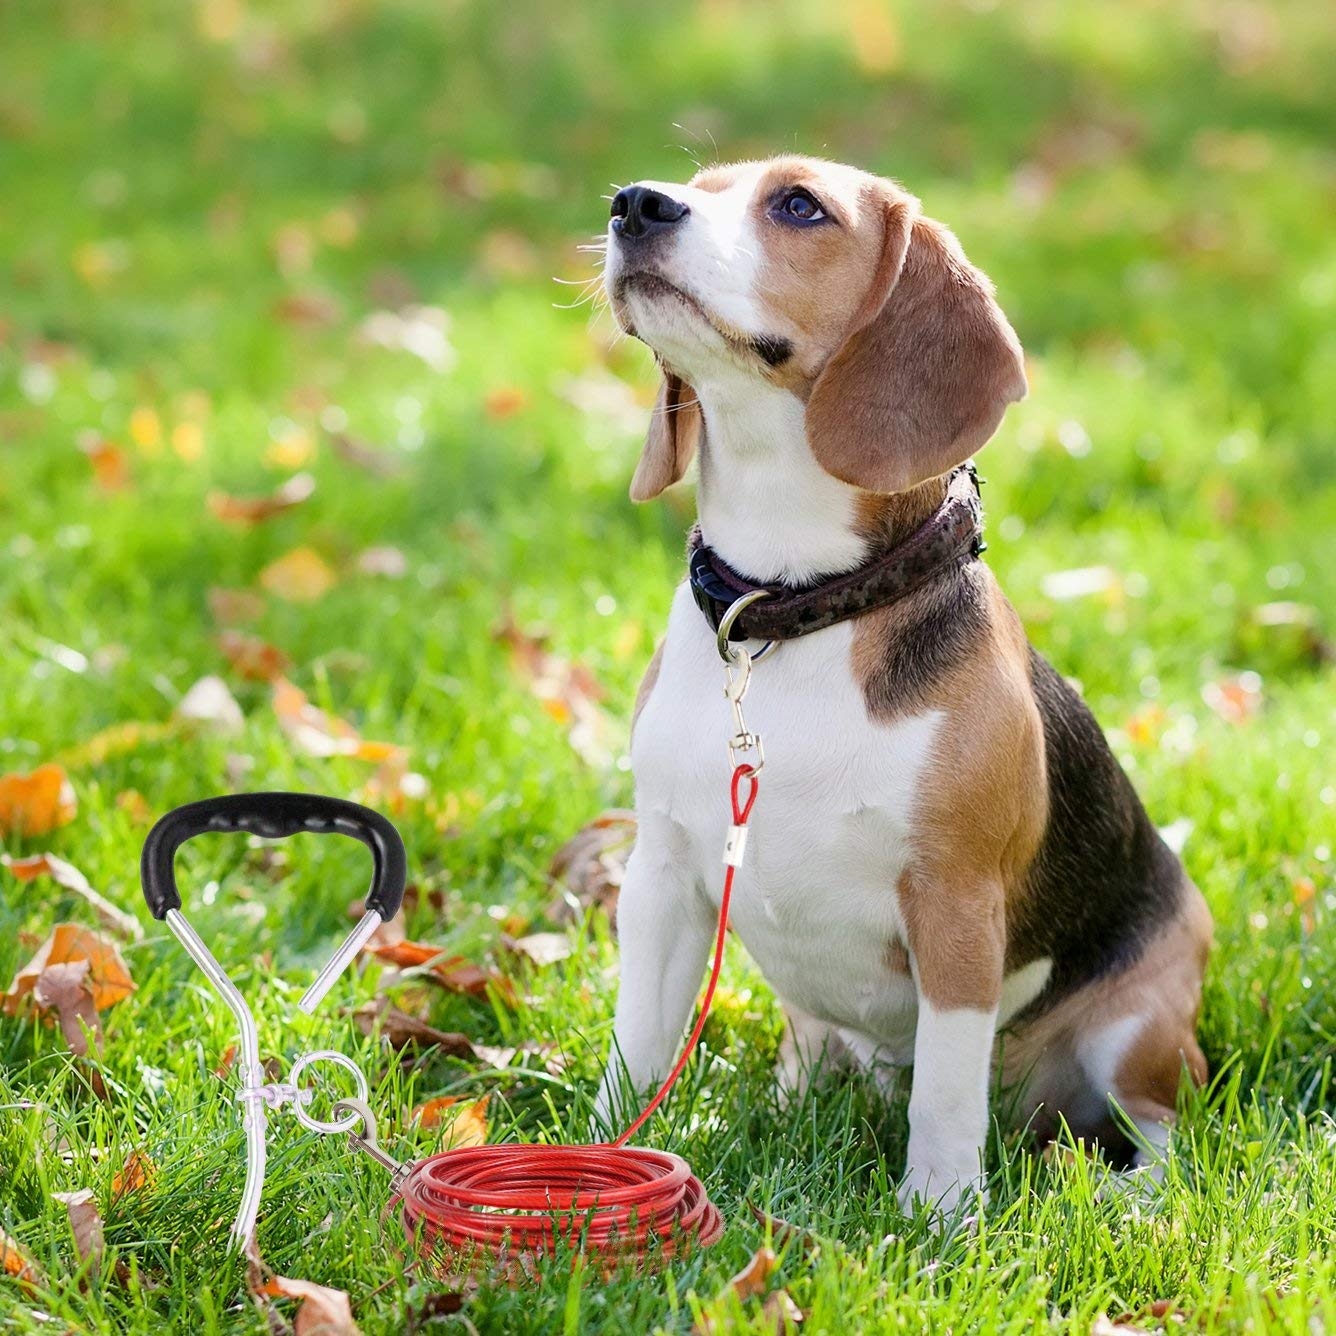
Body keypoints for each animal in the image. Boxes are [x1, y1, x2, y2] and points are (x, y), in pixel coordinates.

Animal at [595, 153, 1213, 1213]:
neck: (790, 608)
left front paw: (940, 1217)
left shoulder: (955, 907)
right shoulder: (663, 876)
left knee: (1158, 1126)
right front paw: (586, 1166)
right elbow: (635, 1049)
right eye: (695, 184)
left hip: (1142, 1027)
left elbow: (947, 1096)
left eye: (799, 206)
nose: (634, 204)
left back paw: (1129, 1199)